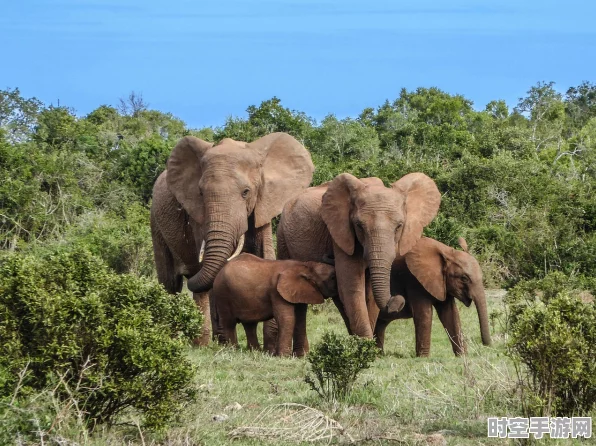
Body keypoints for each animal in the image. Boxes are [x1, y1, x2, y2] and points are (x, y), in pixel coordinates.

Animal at [151, 132, 314, 344]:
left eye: (246, 192)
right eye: (201, 193)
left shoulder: (263, 205)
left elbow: (266, 254)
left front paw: (270, 344)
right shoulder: (198, 215)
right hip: (155, 222)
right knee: (170, 283)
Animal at [278, 172, 440, 346]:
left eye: (399, 226)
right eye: (359, 226)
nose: (398, 300)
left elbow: (369, 294)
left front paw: (366, 348)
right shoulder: (341, 233)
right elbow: (352, 287)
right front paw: (366, 347)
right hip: (282, 237)